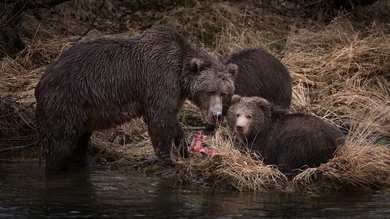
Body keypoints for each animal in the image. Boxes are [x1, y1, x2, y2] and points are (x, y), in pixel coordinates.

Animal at [35, 25, 238, 173]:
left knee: (82, 135)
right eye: (210, 91)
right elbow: (160, 118)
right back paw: (58, 168)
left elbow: (171, 117)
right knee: (61, 142)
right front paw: (169, 160)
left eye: (224, 93)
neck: (181, 75)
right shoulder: (160, 79)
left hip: (84, 108)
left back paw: (92, 160)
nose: (216, 114)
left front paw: (184, 148)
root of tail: (41, 80)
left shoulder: (173, 91)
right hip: (66, 100)